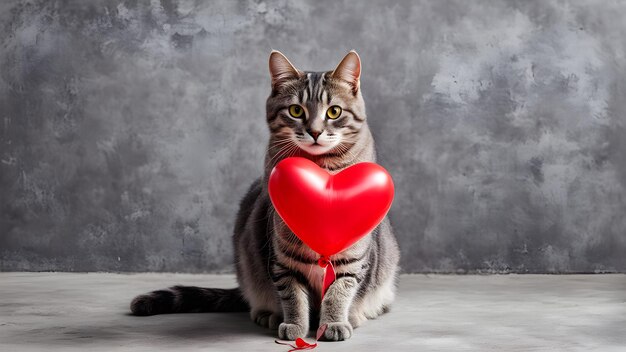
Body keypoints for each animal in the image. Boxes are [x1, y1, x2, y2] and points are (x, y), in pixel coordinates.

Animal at [130, 50, 400, 340]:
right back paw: (269, 314)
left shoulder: (352, 256)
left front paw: (333, 323)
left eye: (334, 111)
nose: (315, 132)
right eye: (296, 110)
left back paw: (357, 315)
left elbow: (339, 291)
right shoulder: (282, 255)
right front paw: (295, 325)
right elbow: (292, 294)